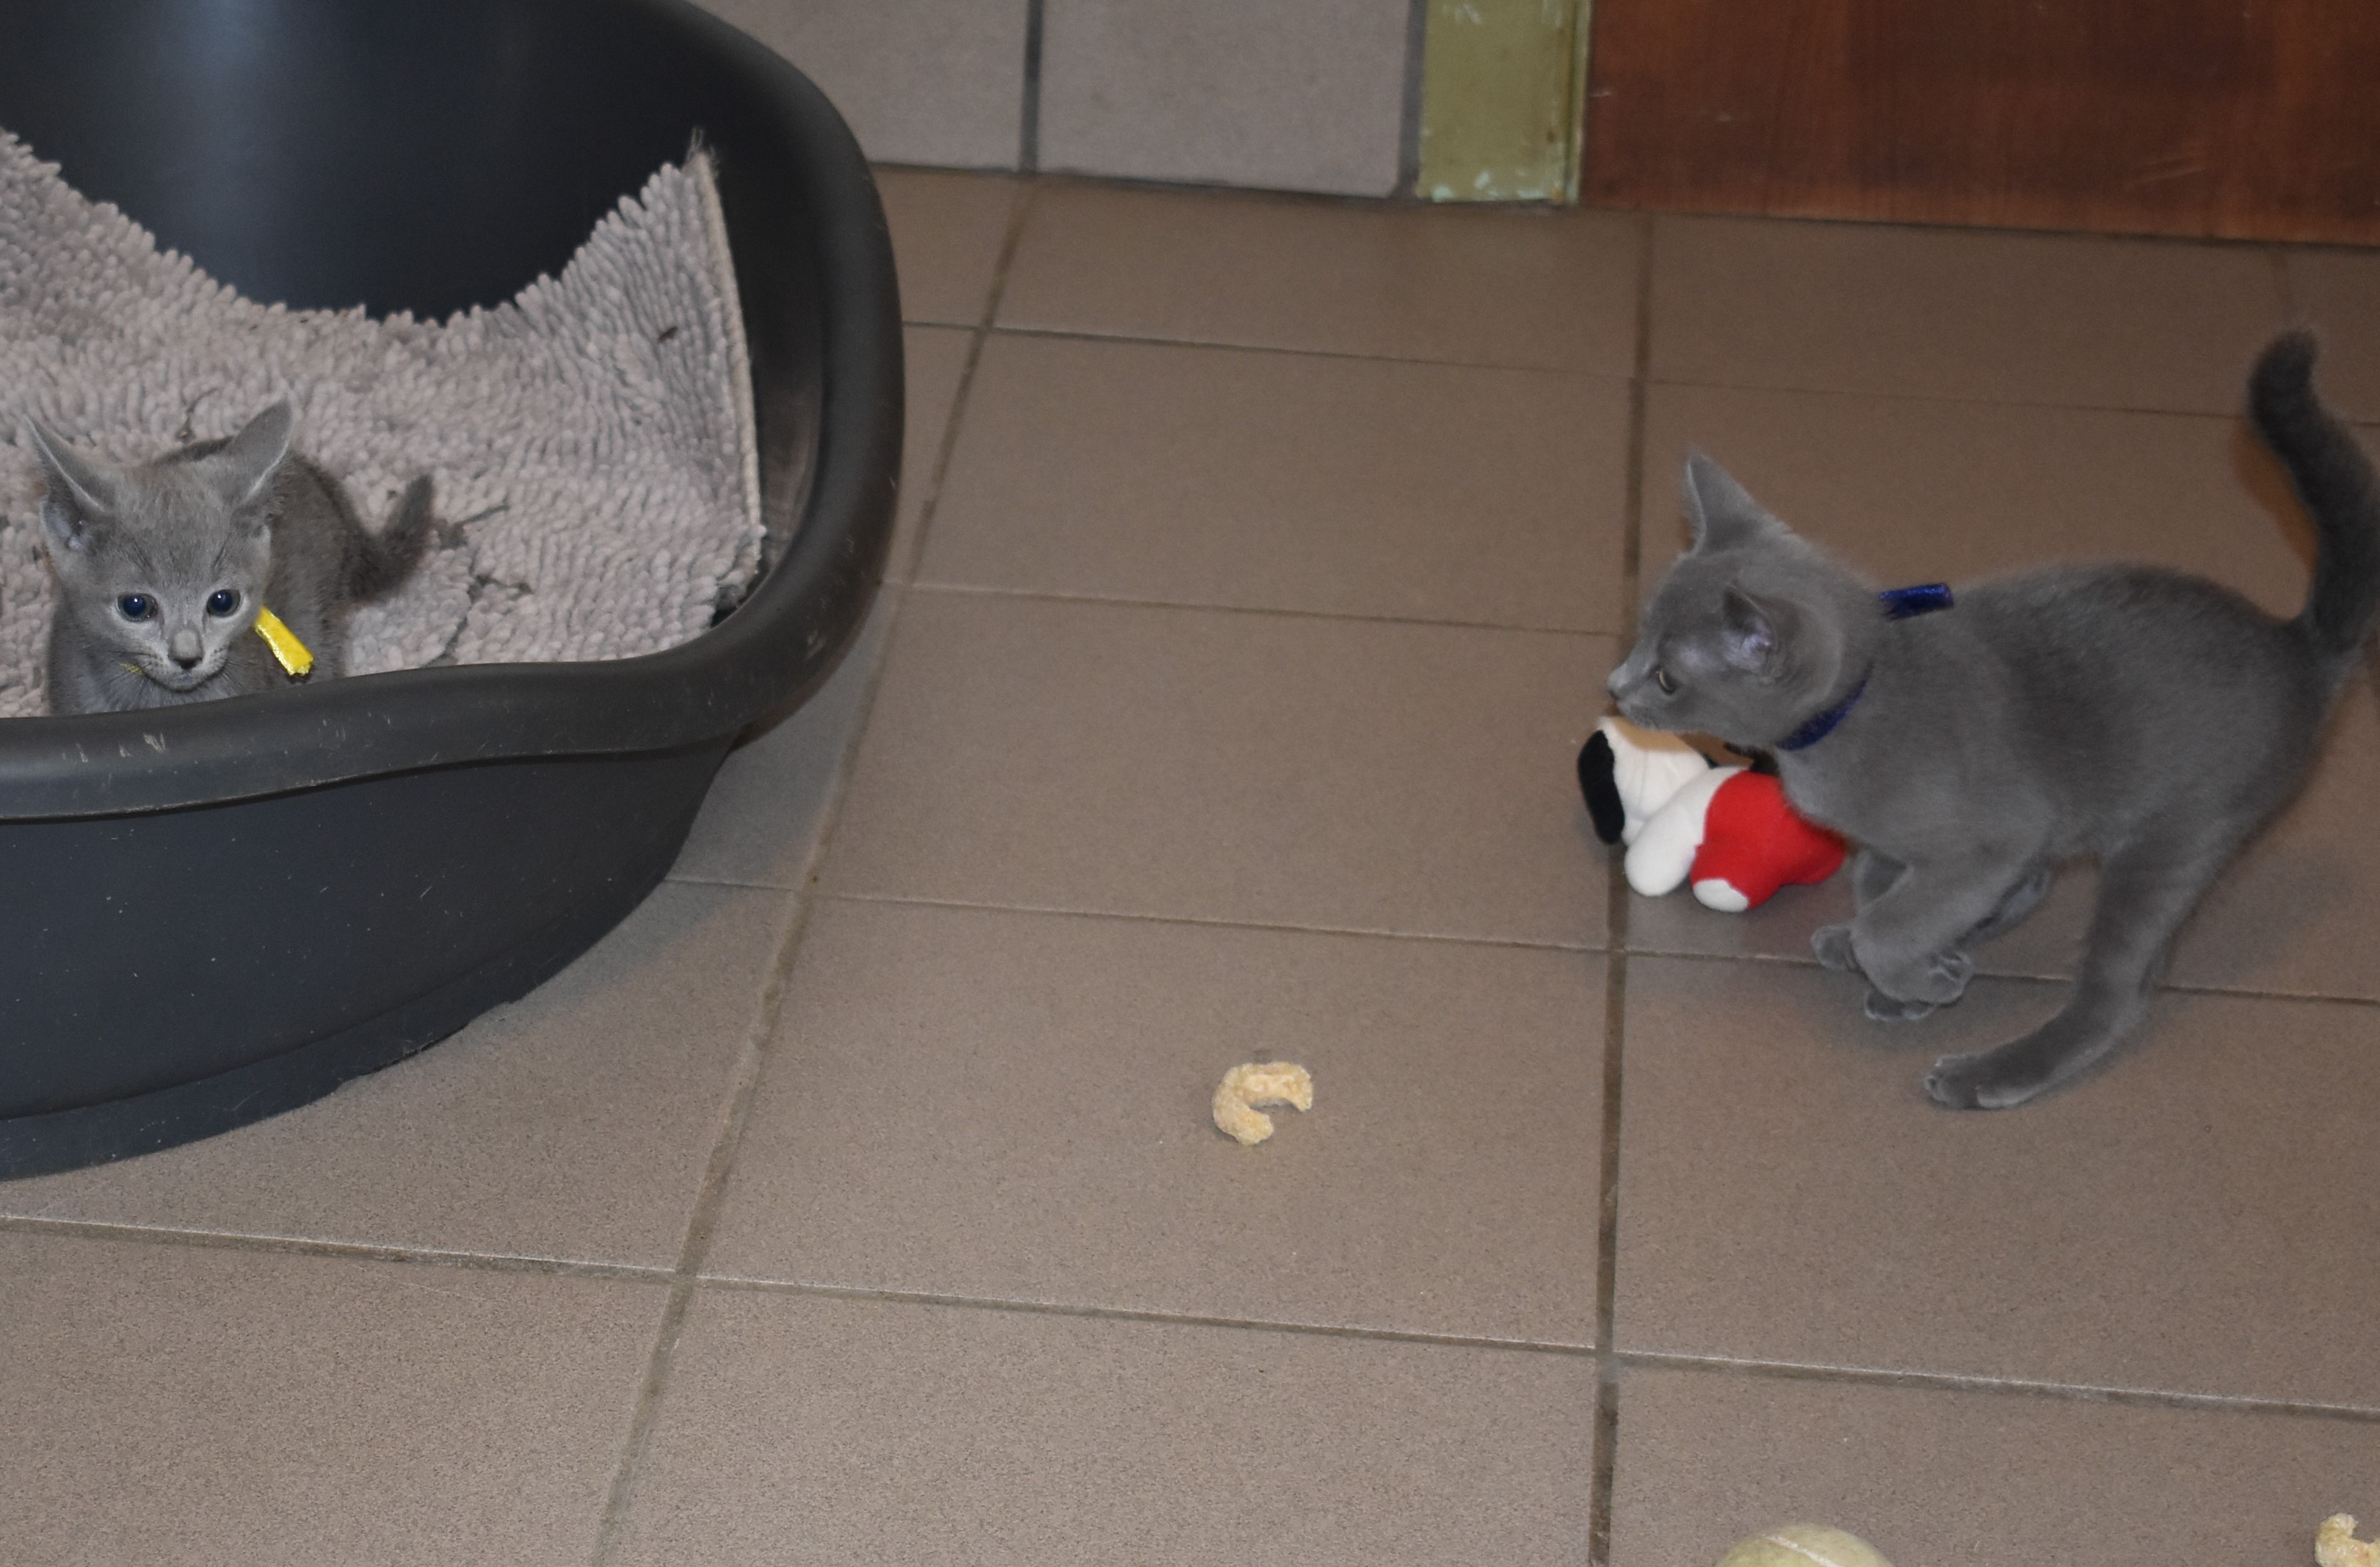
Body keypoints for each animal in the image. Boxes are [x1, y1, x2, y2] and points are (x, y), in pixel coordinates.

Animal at [1608, 330, 2380, 1109]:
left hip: (2177, 835)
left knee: (2114, 996)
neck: (1855, 704)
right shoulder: (1913, 849)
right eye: (1639, 638)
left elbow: (1893, 922)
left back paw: (1989, 1071)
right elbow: (1882, 889)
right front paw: (1911, 963)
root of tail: (2298, 647)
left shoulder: (1991, 840)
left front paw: (1906, 970)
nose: (1614, 686)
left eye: (1667, 678)